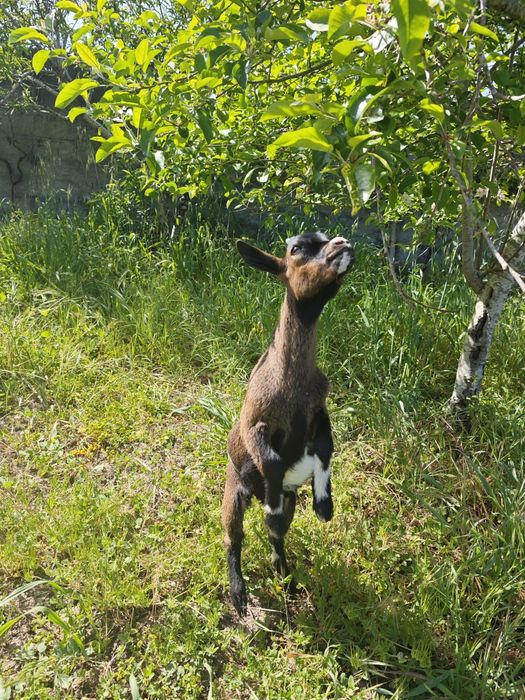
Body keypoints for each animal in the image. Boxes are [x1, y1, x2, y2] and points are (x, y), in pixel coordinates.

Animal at [222, 231, 354, 615]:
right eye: (296, 249)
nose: (342, 242)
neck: (291, 385)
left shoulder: (318, 410)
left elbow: (325, 447)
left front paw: (324, 504)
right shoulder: (254, 424)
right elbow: (273, 460)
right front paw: (273, 507)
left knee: (274, 538)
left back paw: (286, 576)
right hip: (233, 491)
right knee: (233, 537)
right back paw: (239, 595)